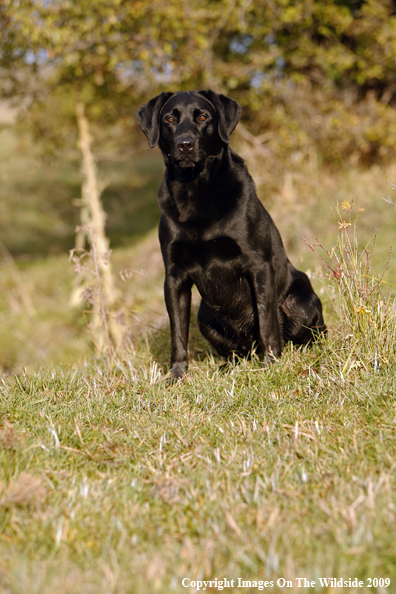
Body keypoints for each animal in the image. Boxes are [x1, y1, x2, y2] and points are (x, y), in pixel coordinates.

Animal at [136, 91, 324, 380]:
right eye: (169, 119)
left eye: (203, 116)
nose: (185, 144)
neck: (195, 191)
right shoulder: (174, 276)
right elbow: (177, 333)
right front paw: (176, 376)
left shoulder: (258, 266)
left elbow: (267, 322)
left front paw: (270, 365)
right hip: (205, 315)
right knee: (238, 351)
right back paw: (228, 366)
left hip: (299, 303)